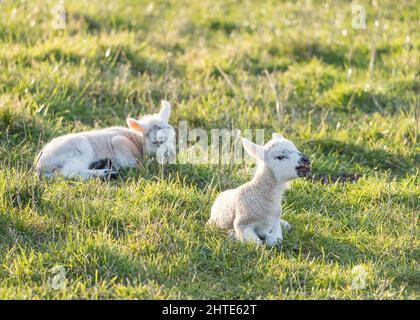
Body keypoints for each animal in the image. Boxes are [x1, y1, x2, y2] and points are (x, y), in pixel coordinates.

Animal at [34, 100, 176, 180]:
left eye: (173, 137)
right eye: (156, 142)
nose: (170, 157)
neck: (137, 141)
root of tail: (40, 165)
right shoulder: (119, 144)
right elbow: (134, 165)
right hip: (81, 147)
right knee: (69, 172)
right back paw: (107, 173)